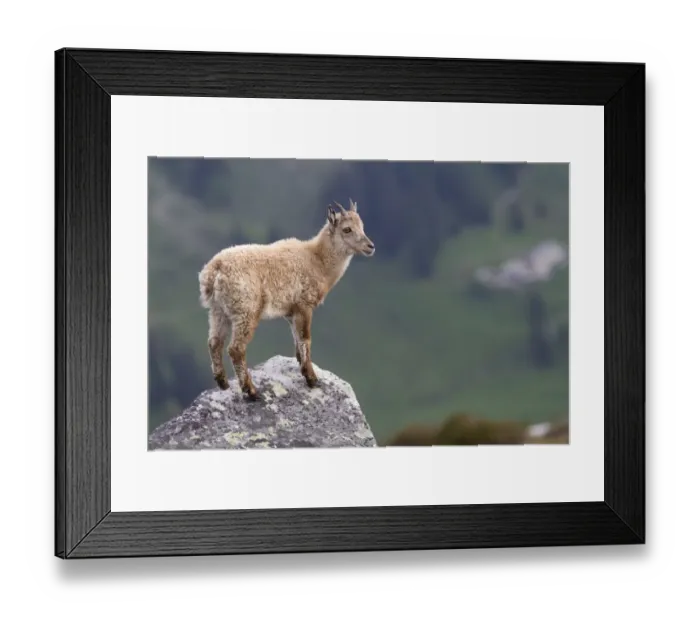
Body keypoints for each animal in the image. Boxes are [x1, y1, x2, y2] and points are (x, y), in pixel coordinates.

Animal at [198, 198, 375, 400]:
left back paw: (223, 383)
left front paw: (302, 366)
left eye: (362, 226)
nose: (370, 246)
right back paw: (251, 391)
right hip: (246, 311)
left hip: (218, 311)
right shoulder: (304, 305)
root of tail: (214, 270)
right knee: (236, 349)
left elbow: (297, 340)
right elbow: (305, 339)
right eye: (347, 229)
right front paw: (311, 378)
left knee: (214, 343)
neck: (317, 261)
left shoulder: (291, 312)